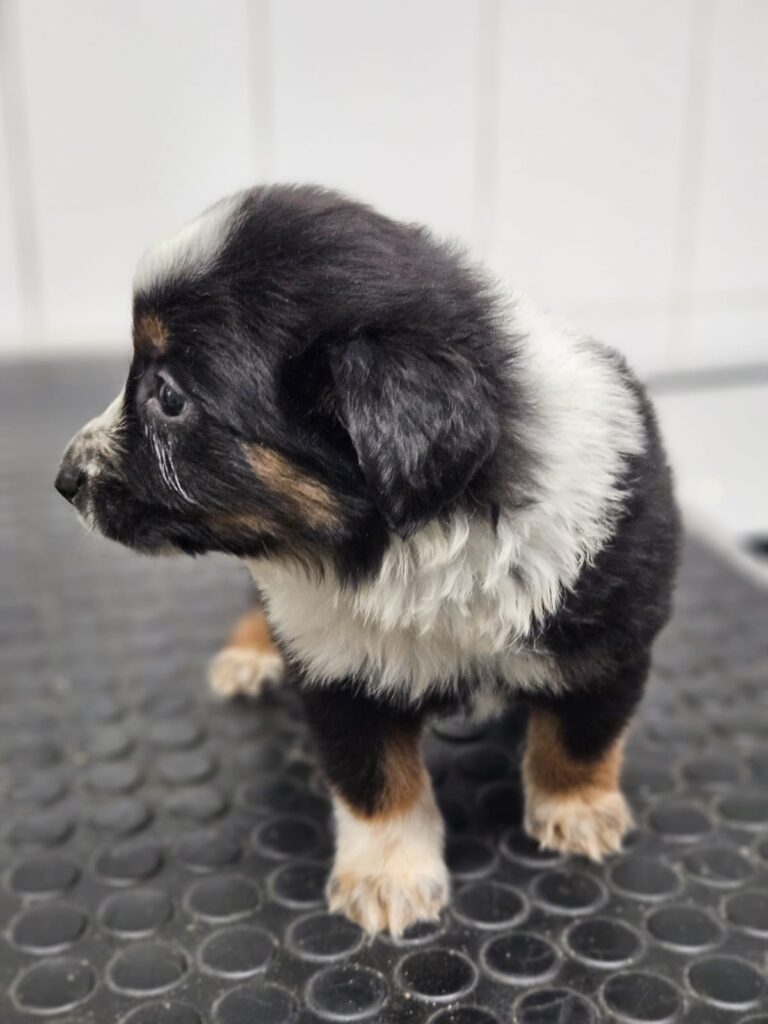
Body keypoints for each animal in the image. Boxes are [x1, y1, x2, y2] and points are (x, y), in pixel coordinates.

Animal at [56, 185, 680, 936]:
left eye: (169, 397)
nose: (64, 479)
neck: (411, 545)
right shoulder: (338, 668)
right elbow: (376, 779)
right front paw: (388, 878)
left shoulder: (611, 637)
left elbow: (581, 736)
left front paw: (578, 811)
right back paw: (249, 655)